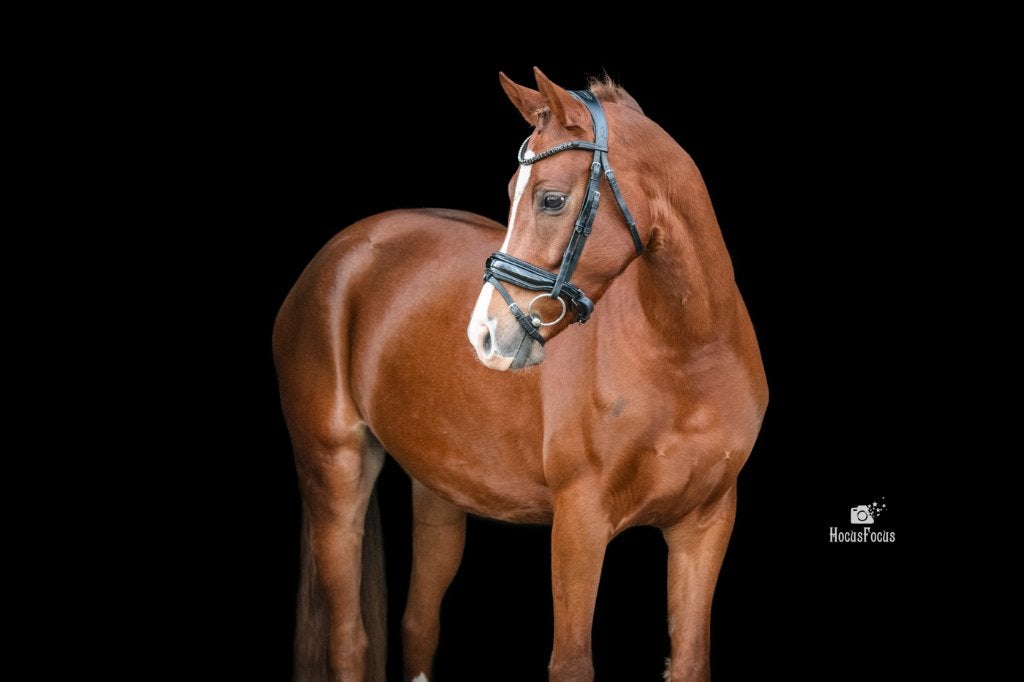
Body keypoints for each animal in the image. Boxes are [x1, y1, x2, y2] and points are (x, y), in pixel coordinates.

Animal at [273, 67, 768, 682]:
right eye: (512, 193)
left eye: (551, 199)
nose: (485, 335)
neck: (688, 357)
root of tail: (336, 256)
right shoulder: (579, 524)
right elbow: (571, 662)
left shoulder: (704, 525)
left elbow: (691, 658)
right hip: (335, 473)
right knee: (349, 641)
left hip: (438, 485)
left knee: (419, 625)